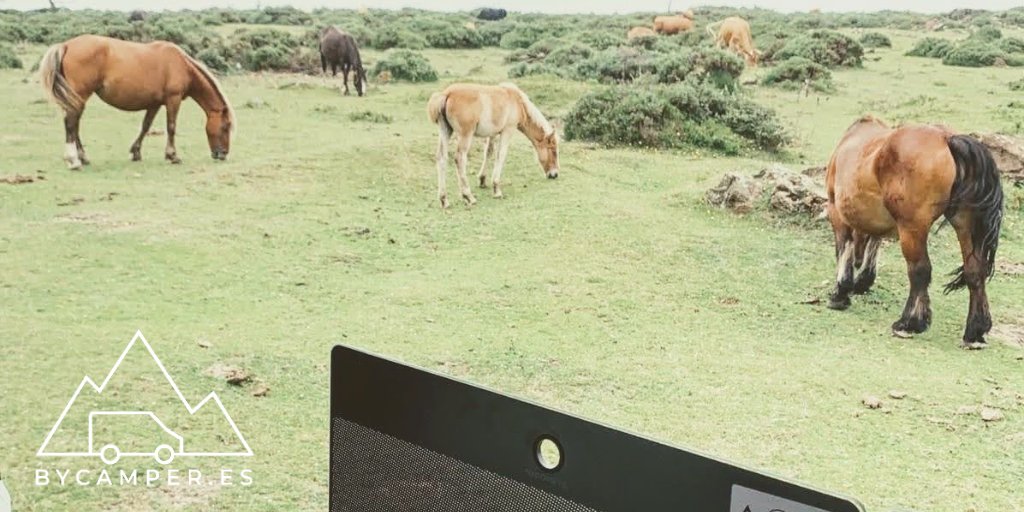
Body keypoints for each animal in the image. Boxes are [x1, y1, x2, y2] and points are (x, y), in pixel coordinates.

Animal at [38, 35, 234, 170]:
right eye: (225, 127)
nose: (223, 154)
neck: (181, 64)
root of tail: (66, 45)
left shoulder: (155, 104)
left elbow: (145, 126)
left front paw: (136, 152)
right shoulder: (173, 99)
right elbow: (171, 127)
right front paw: (172, 156)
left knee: (74, 124)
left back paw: (83, 157)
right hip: (79, 95)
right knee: (71, 123)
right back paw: (73, 160)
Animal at [426, 82, 559, 209]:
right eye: (553, 151)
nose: (555, 174)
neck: (517, 101)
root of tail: (447, 94)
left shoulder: (493, 134)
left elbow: (489, 152)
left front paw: (482, 180)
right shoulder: (508, 130)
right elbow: (501, 155)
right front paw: (496, 189)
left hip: (445, 131)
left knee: (441, 158)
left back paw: (444, 199)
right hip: (465, 135)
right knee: (460, 158)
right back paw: (468, 196)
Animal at [825, 116, 1003, 349]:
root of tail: (947, 138)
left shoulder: (835, 211)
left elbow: (843, 248)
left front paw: (840, 292)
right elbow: (874, 242)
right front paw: (863, 281)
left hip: (912, 229)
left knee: (920, 271)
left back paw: (909, 322)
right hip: (964, 224)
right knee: (975, 271)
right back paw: (975, 331)